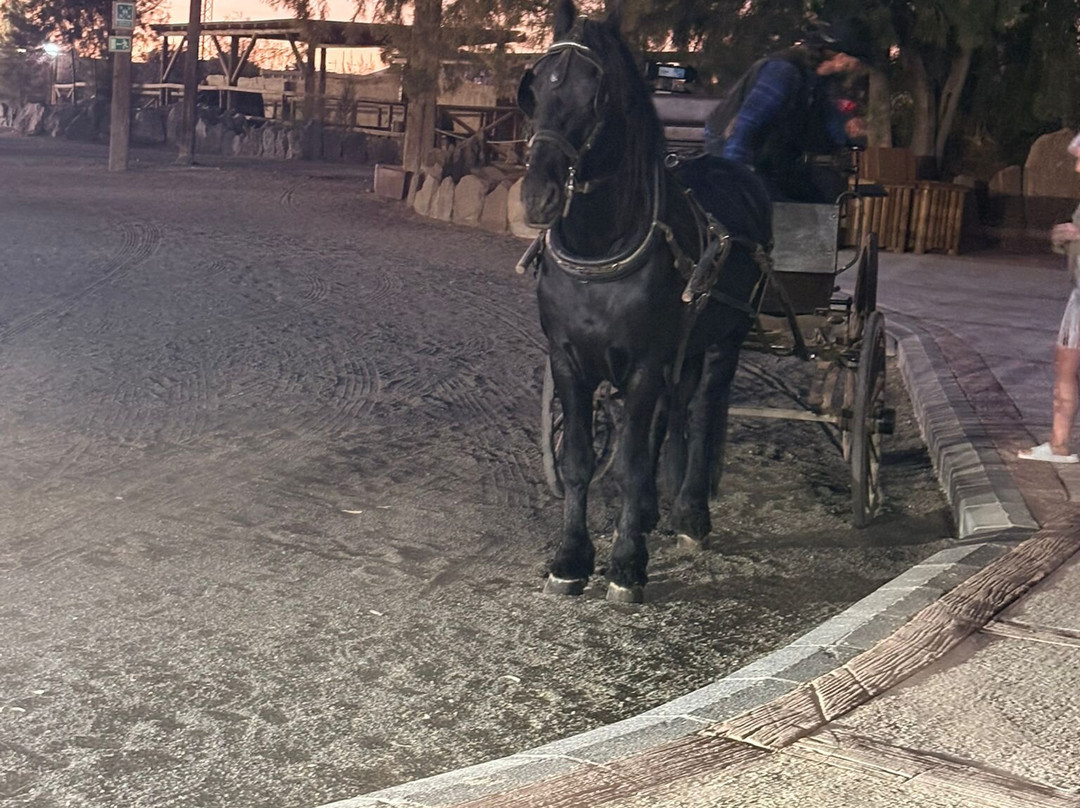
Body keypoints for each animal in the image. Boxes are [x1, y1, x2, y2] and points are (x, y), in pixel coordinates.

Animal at [517, 0, 773, 603]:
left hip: (724, 341)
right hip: (686, 348)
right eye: (533, 88)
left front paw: (627, 563)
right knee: (670, 414)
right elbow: (580, 459)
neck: (600, 251)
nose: (538, 195)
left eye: (597, 94)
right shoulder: (568, 360)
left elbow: (630, 462)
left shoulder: (645, 363)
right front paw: (572, 557)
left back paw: (692, 512)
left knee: (700, 414)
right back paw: (660, 508)